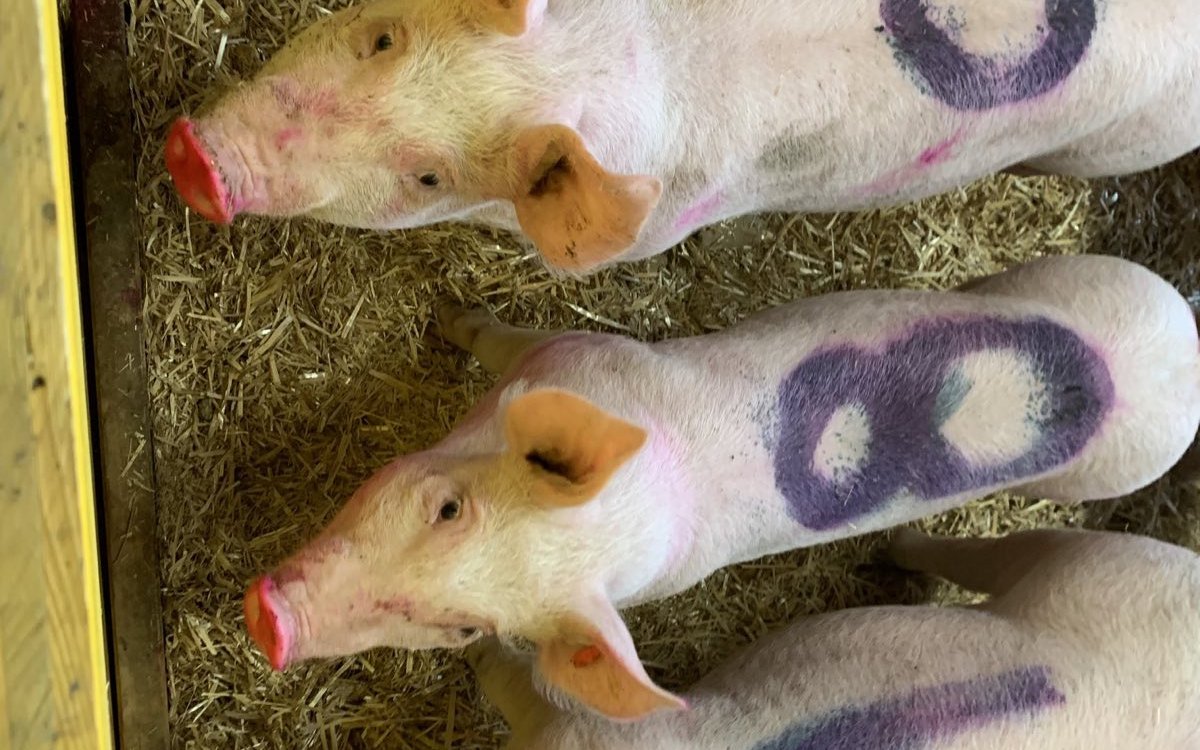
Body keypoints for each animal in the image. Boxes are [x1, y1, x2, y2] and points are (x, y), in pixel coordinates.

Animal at [241, 254, 1200, 720]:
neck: (644, 501)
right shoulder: (577, 355)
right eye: (448, 507)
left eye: (468, 625)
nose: (273, 622)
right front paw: (446, 313)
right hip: (1062, 276)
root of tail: (1181, 359)